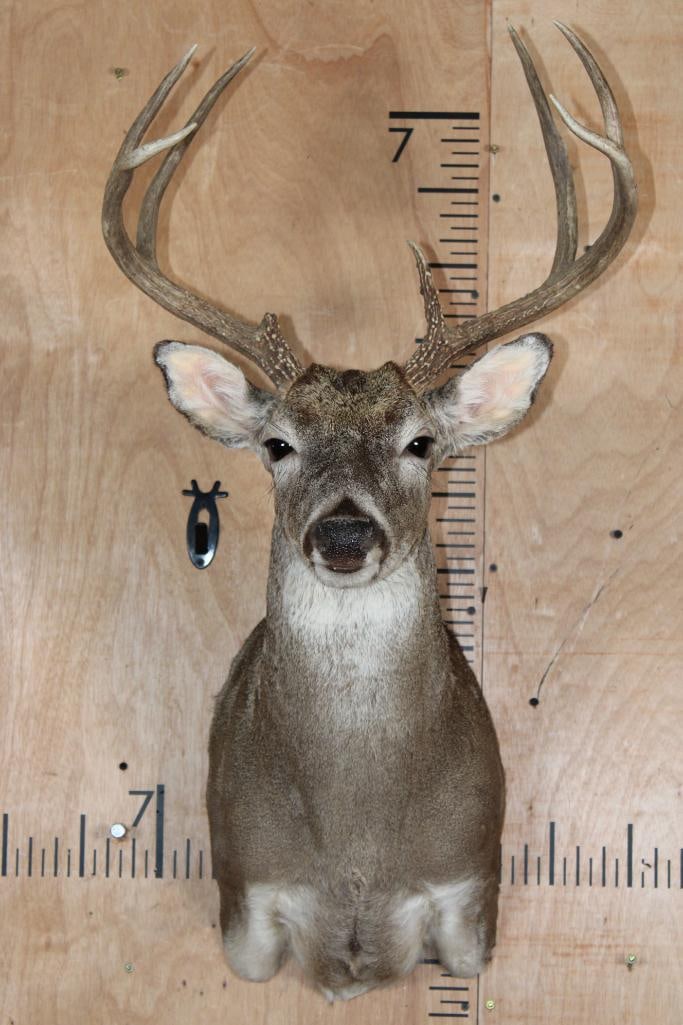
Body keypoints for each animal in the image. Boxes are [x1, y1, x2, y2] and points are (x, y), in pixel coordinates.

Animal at [102, 23, 636, 1002]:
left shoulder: (470, 893)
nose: (345, 533)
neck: (356, 846)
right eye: (277, 444)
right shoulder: (244, 895)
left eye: (421, 441)